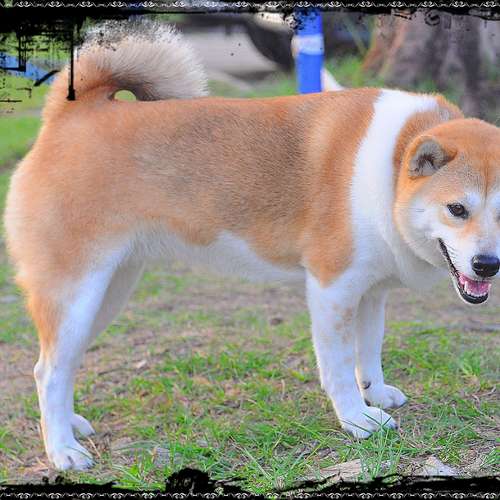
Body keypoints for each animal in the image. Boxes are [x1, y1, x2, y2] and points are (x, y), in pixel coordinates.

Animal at [4, 20, 500, 471]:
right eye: (457, 209)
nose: (487, 264)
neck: (389, 166)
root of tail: (69, 116)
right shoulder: (333, 290)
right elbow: (340, 367)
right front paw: (356, 419)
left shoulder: (371, 291)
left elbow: (369, 352)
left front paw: (374, 393)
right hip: (75, 295)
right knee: (47, 372)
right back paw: (62, 450)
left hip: (106, 295)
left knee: (63, 365)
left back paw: (69, 425)